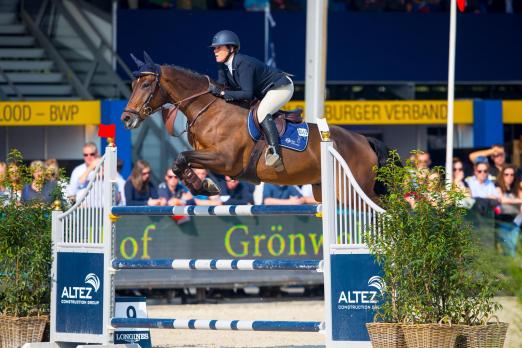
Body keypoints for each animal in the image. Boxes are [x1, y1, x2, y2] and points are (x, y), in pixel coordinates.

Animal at [119, 53, 386, 203]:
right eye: (132, 84)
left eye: (146, 85)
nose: (126, 119)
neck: (210, 109)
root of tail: (363, 140)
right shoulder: (207, 156)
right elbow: (179, 162)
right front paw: (202, 186)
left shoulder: (225, 160)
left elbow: (182, 156)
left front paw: (203, 186)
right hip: (327, 191)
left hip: (353, 190)